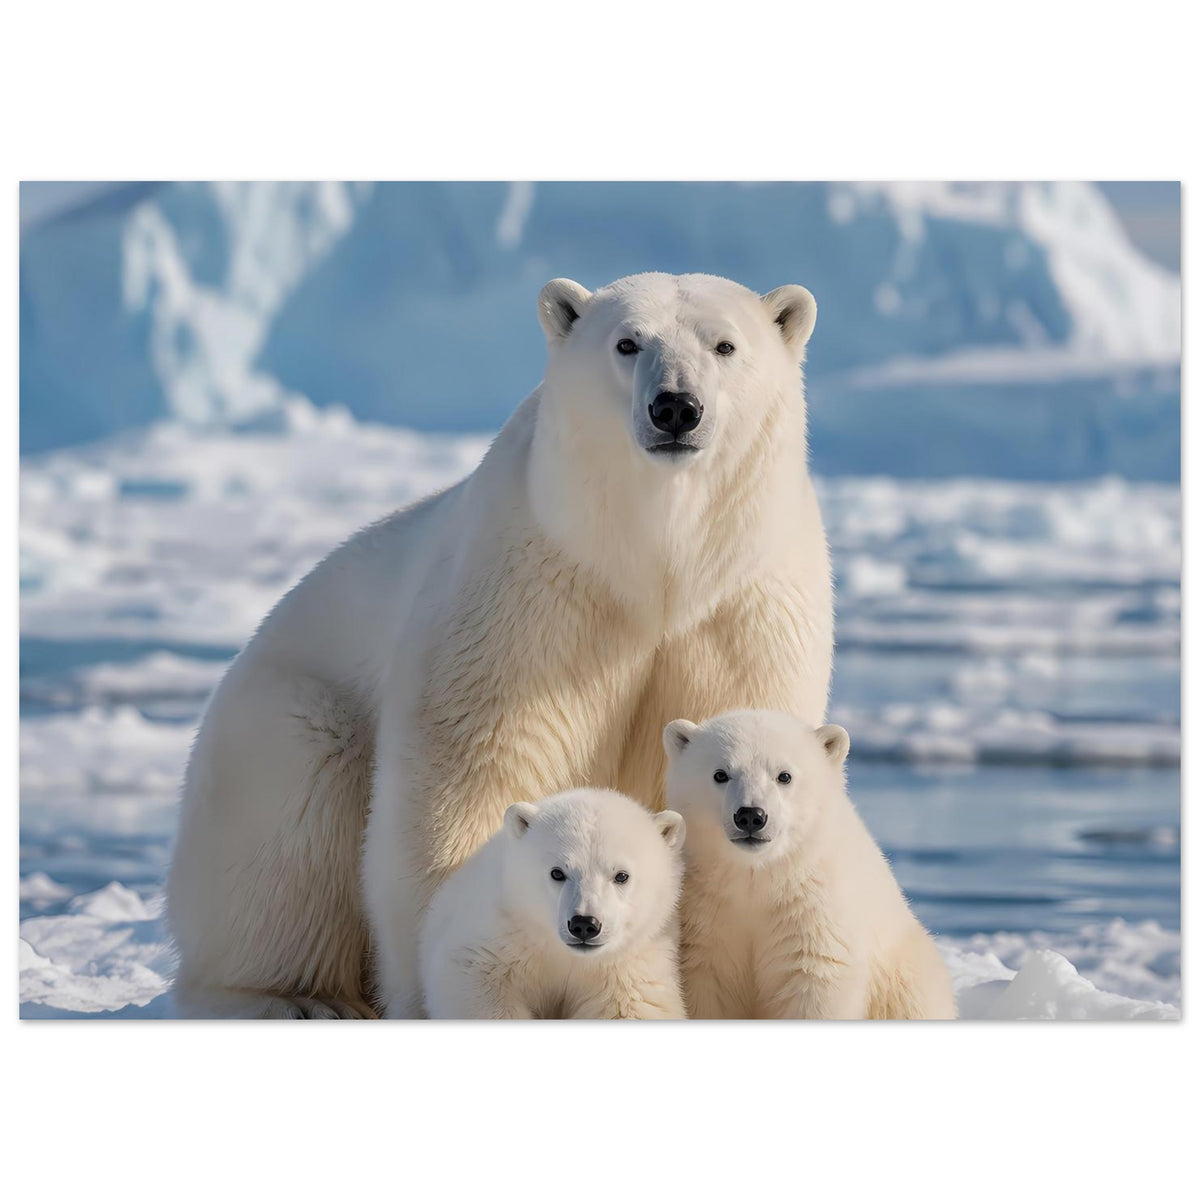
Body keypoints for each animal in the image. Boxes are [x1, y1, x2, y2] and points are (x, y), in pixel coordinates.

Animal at [418, 788, 687, 1019]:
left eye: (621, 875)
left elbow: (634, 1006)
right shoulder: (501, 933)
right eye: (557, 872)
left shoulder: (630, 964)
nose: (584, 924)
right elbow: (474, 977)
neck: (564, 955)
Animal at [663, 710, 956, 1020]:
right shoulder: (708, 914)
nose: (751, 816)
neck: (758, 875)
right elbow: (709, 986)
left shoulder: (814, 910)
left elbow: (815, 980)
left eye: (784, 776)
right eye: (720, 774)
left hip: (904, 978)